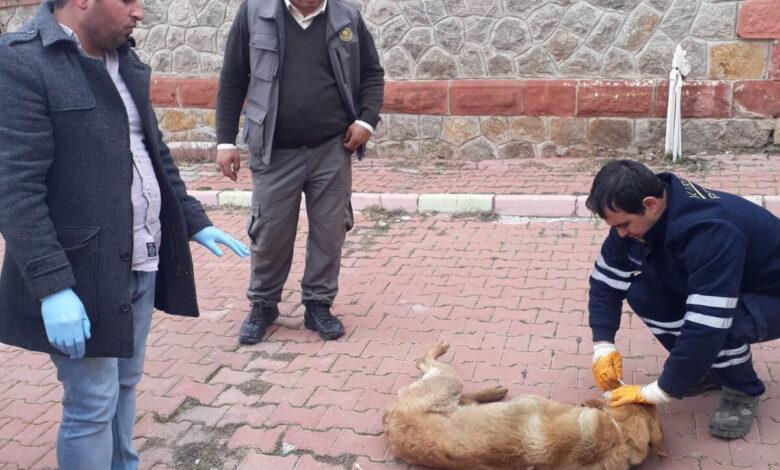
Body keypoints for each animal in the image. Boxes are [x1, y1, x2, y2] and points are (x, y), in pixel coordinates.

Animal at [384, 342, 664, 470]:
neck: (616, 434)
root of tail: (390, 421)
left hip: (448, 386)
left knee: (453, 387)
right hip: (449, 382)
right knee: (426, 362)